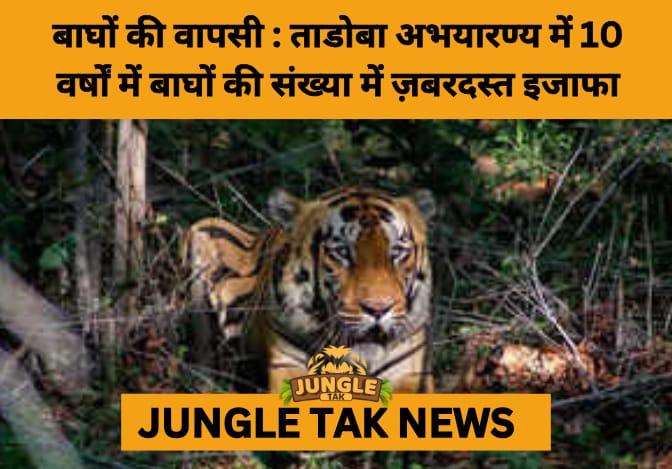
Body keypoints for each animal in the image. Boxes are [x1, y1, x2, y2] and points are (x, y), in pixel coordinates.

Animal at [181, 186, 436, 394]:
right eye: (341, 252)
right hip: (203, 230)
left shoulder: (408, 374)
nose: (378, 308)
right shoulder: (289, 367)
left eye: (397, 252)